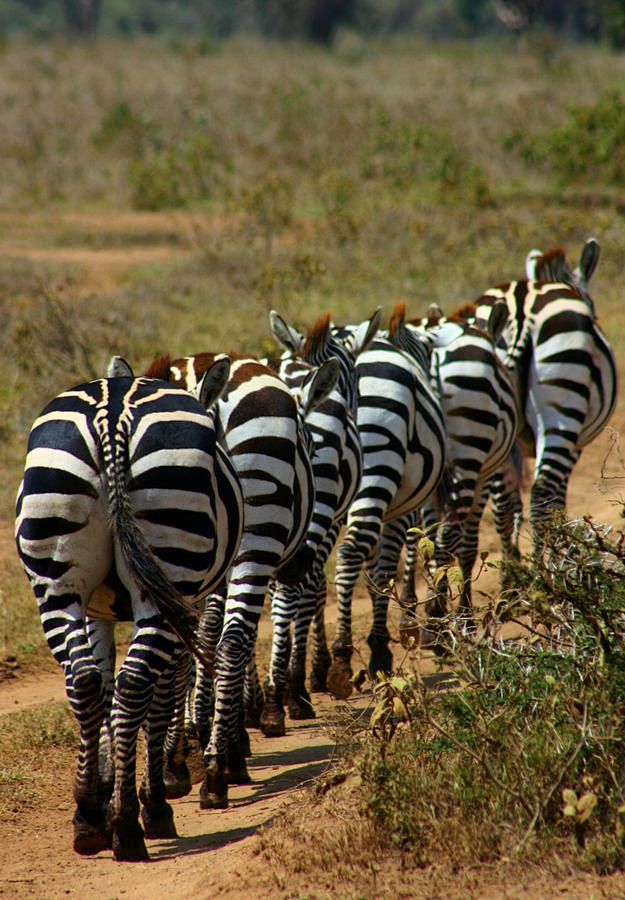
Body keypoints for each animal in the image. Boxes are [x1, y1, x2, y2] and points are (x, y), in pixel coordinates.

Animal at [14, 362, 244, 860]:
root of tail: (112, 415)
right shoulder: (187, 603)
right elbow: (166, 691)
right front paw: (153, 796)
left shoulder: (95, 610)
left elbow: (101, 684)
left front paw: (101, 786)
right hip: (170, 565)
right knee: (136, 684)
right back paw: (130, 825)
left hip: (56, 573)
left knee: (84, 681)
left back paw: (88, 819)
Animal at [140, 348, 338, 804]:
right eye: (309, 446)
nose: (298, 565)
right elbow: (229, 642)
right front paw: (231, 744)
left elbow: (195, 650)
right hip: (252, 539)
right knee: (230, 641)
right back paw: (215, 772)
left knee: (188, 648)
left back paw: (179, 766)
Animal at [270, 312, 446, 700]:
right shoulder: (399, 510)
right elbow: (385, 568)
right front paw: (383, 645)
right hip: (378, 475)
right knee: (350, 553)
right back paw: (339, 663)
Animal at [388, 298, 520, 636]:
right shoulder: (484, 473)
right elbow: (471, 543)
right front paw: (465, 612)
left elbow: (426, 537)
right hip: (469, 456)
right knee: (452, 536)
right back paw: (442, 623)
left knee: (429, 537)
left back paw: (427, 619)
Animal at [472, 237, 616, 556]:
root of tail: (521, 308)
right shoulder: (576, 444)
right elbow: (557, 502)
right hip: (561, 411)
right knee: (541, 495)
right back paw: (541, 568)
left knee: (502, 504)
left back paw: (512, 569)